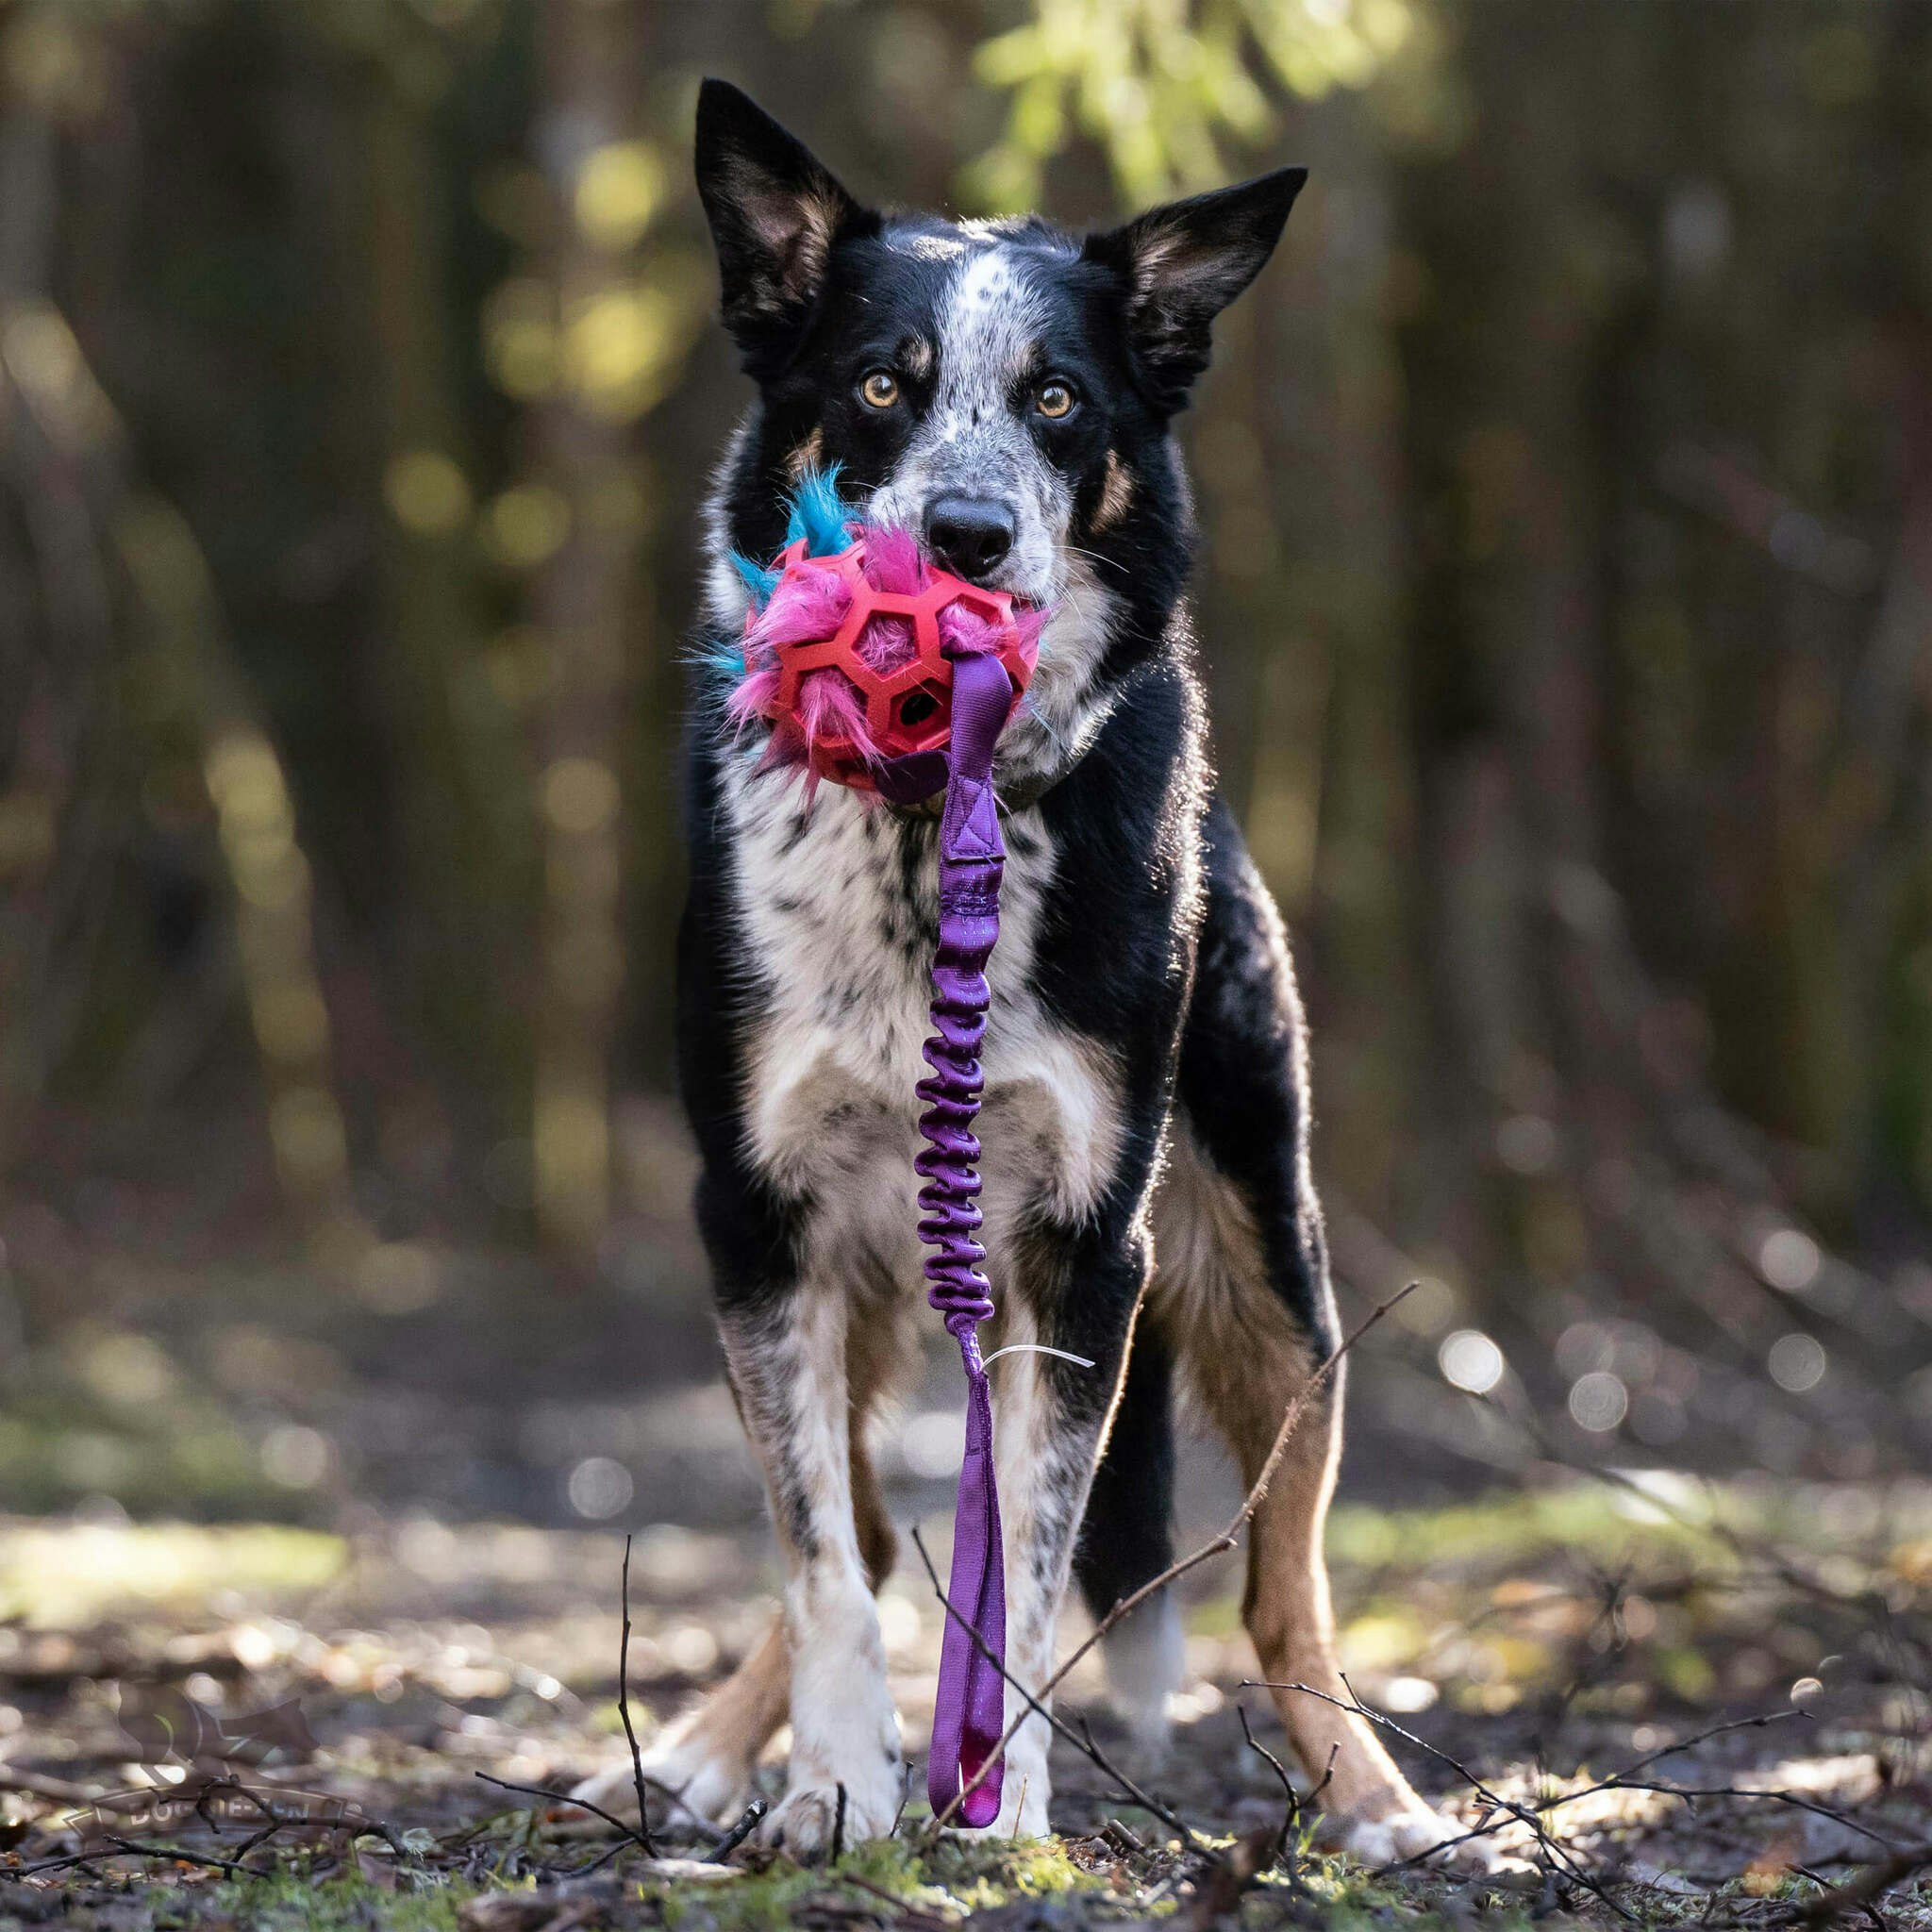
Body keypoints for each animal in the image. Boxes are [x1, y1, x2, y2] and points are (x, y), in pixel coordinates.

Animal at [579, 78, 1468, 1870]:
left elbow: (1036, 1568)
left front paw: (997, 1805)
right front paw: (837, 1787)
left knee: (1286, 1593)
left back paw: (1374, 1805)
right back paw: (710, 1751)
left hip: (1270, 1266)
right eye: (877, 382)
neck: (939, 822)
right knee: (844, 1526)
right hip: (853, 1282)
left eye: (1056, 398)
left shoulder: (1085, 1242)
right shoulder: (755, 1215)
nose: (967, 534)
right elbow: (821, 1561)